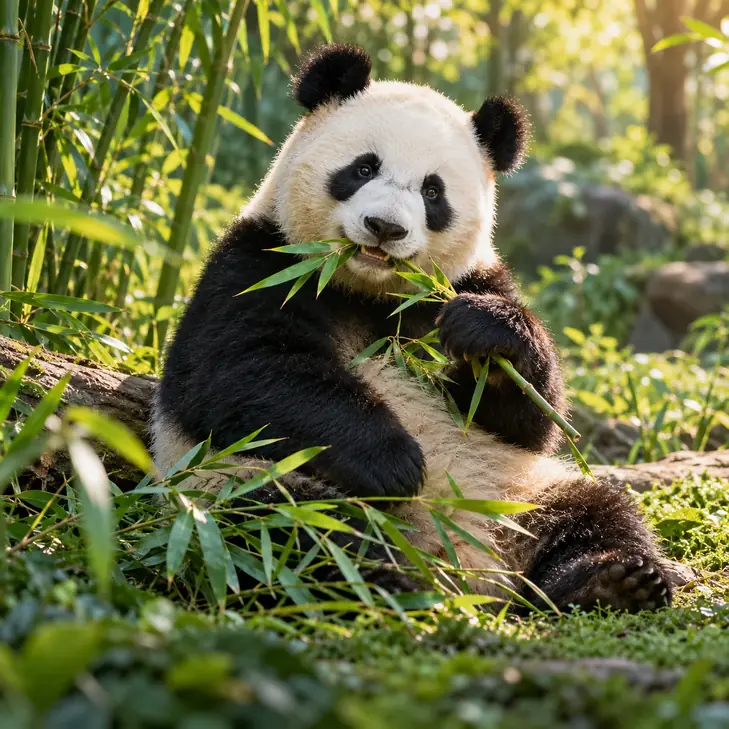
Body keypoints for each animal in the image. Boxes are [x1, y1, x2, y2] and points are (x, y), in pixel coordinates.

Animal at [152, 44, 672, 612]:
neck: (366, 289)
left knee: (597, 511)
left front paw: (486, 333)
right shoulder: (258, 263)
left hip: (519, 489)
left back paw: (613, 580)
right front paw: (395, 462)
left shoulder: (472, 282)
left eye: (432, 192)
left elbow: (534, 416)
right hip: (241, 487)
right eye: (362, 168)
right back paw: (388, 582)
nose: (386, 228)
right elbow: (242, 372)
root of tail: (469, 567)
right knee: (295, 529)